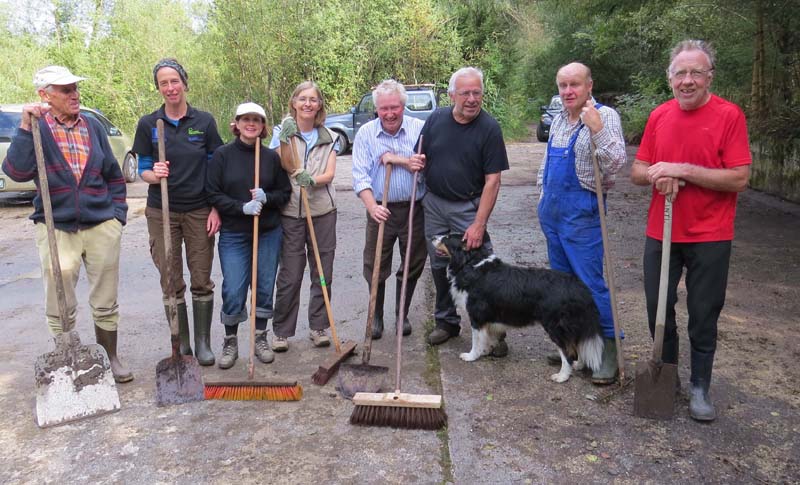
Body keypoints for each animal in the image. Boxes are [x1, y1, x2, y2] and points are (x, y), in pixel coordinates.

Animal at [434, 233, 604, 382]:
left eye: (447, 238)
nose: (433, 237)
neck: (470, 263)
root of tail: (579, 287)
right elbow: (487, 337)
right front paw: (486, 351)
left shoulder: (477, 314)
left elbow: (477, 339)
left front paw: (471, 356)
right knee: (578, 344)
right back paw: (579, 365)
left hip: (555, 325)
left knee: (568, 352)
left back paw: (562, 376)